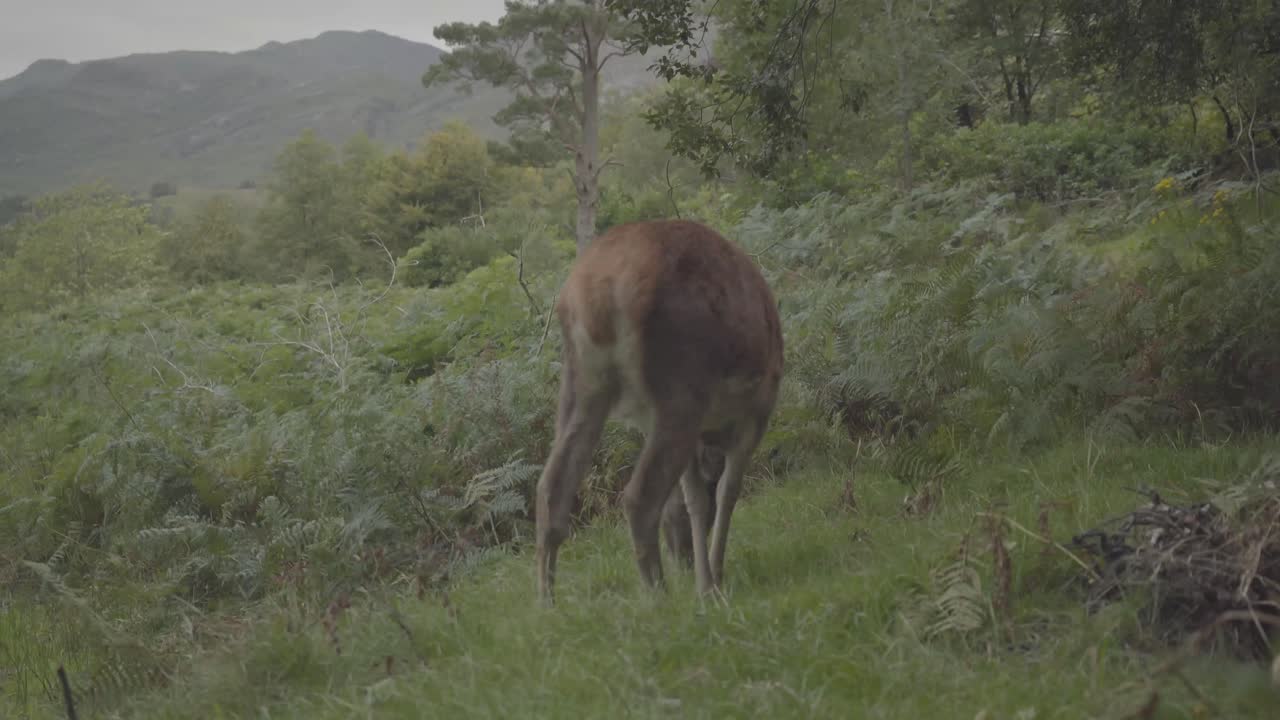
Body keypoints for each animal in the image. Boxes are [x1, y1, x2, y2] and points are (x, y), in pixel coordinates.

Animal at [535, 219, 784, 605]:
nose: (683, 558)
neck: (713, 435)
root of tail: (597, 291)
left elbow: (692, 499)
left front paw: (705, 581)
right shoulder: (758, 410)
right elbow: (726, 492)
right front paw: (713, 581)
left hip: (582, 382)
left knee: (551, 487)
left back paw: (548, 603)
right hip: (680, 387)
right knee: (639, 496)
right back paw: (658, 596)